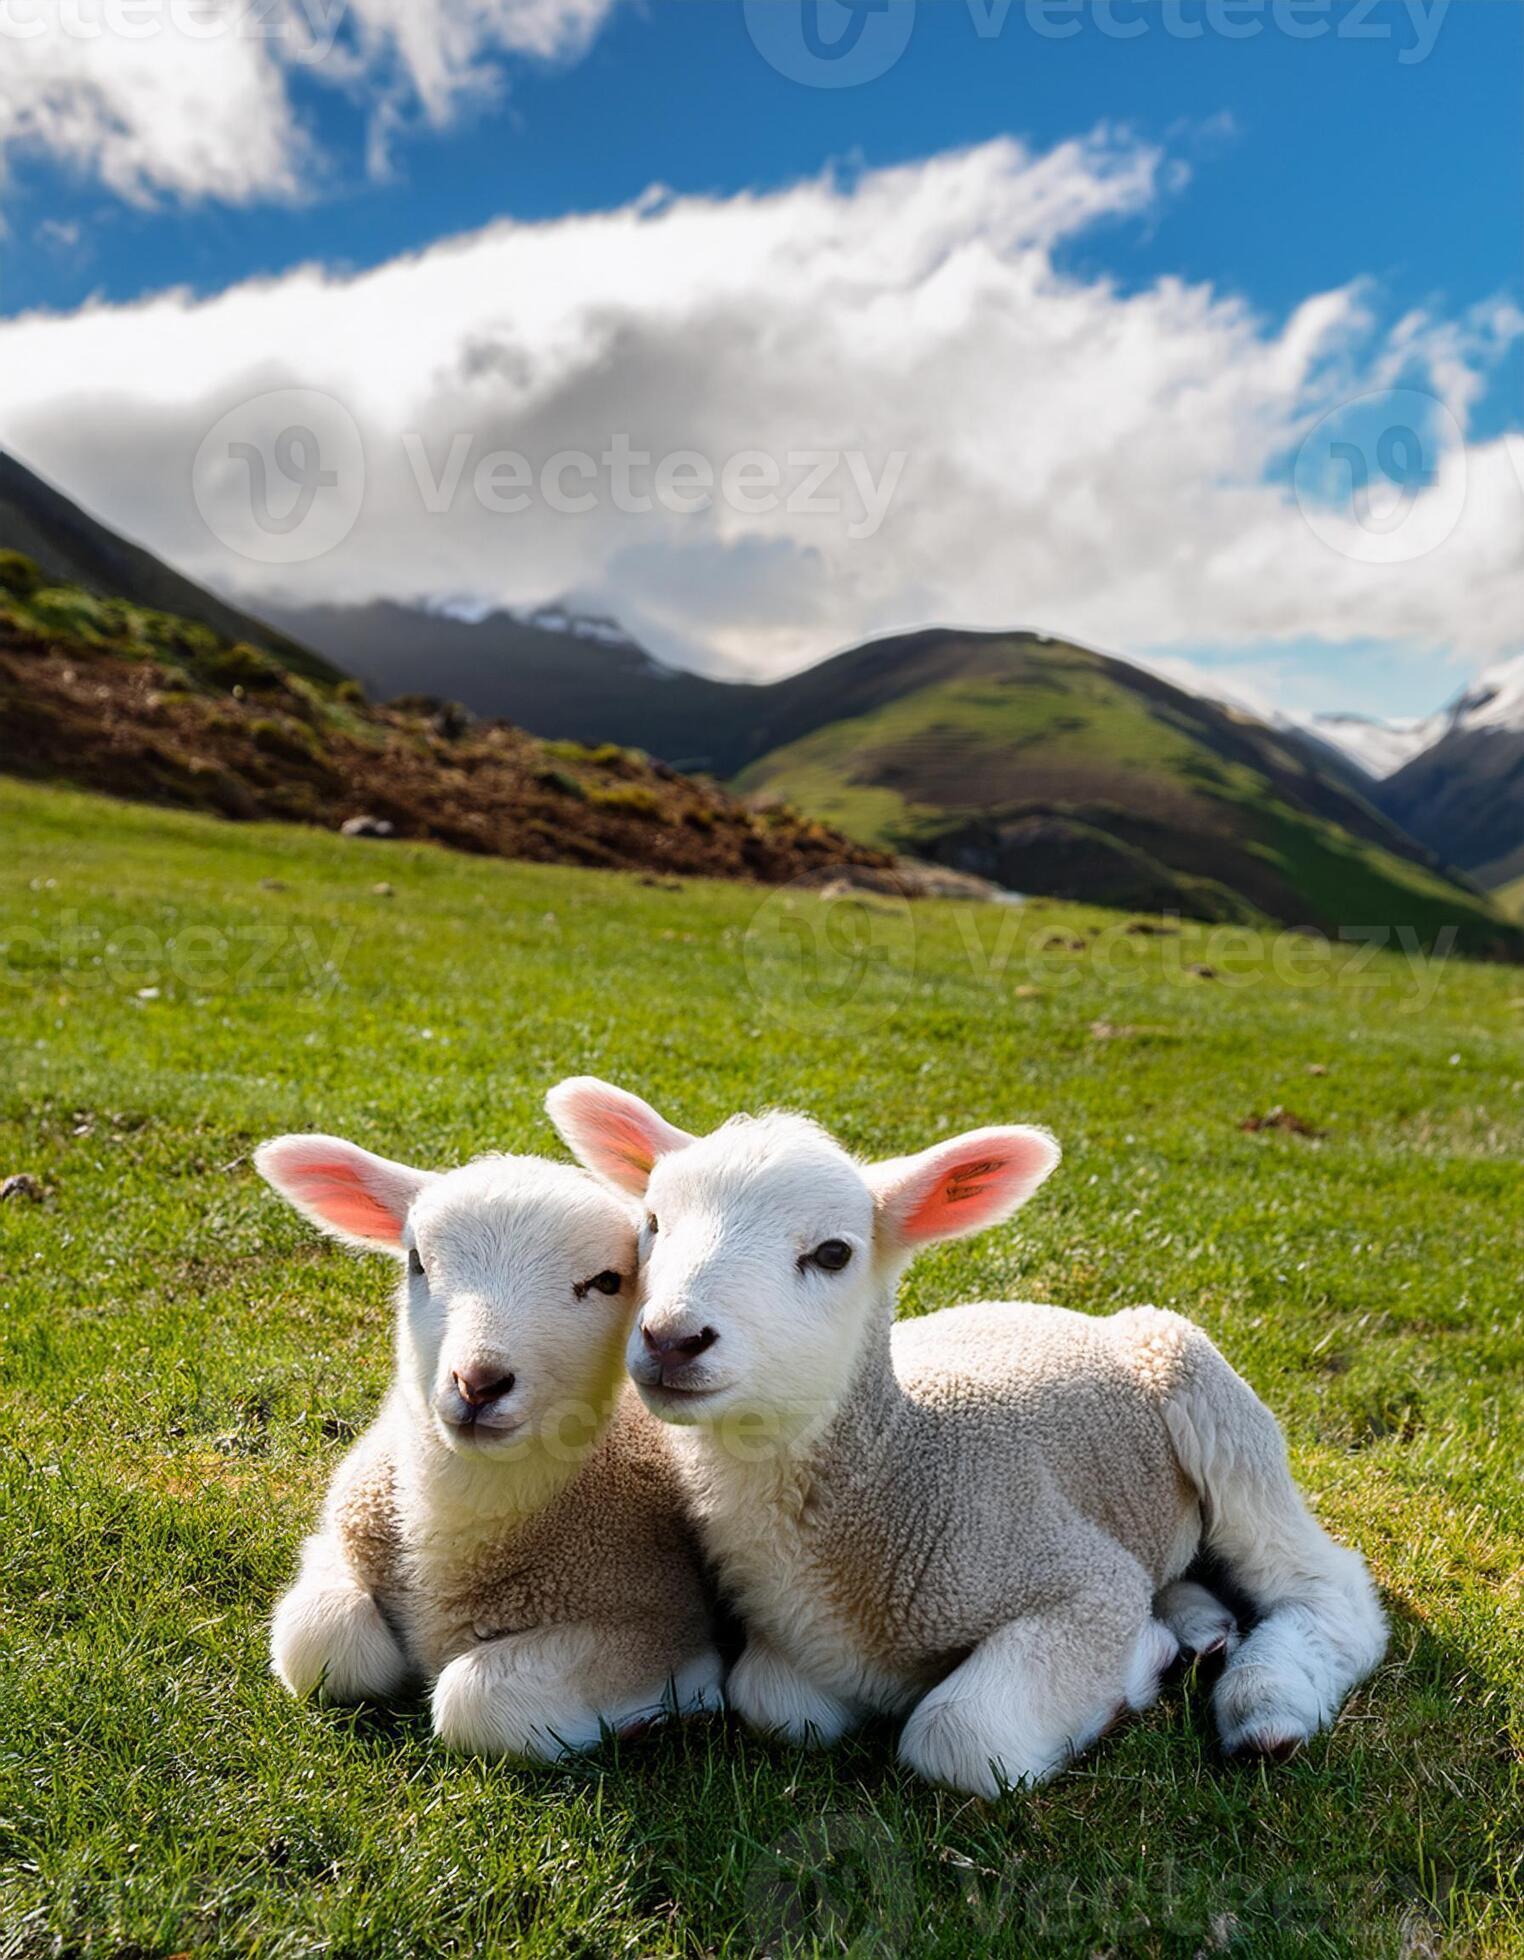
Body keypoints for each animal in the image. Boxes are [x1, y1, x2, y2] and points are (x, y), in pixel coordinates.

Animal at [255, 1133, 722, 1759]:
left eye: (606, 1281)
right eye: (416, 1261)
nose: (478, 1382)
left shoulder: (660, 1621)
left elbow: (475, 1698)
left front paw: (658, 1714)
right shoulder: (340, 1538)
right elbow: (323, 1640)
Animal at [546, 1078, 1388, 1797]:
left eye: (833, 1253)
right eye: (653, 1224)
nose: (671, 1338)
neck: (905, 1467)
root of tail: (1070, 1313)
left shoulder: (1080, 1580)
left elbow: (958, 1735)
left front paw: (1136, 1670)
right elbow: (775, 1704)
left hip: (1199, 1384)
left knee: (1325, 1585)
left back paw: (1265, 1701)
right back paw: (1201, 1626)